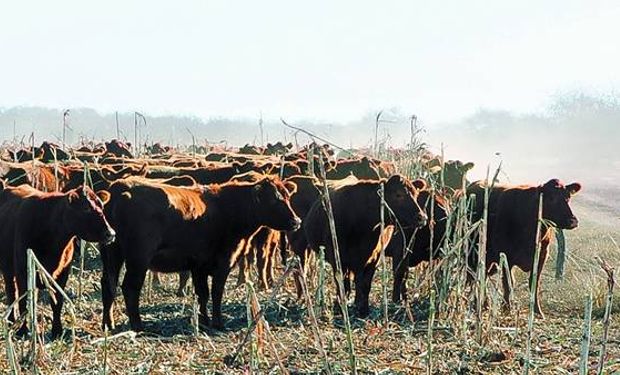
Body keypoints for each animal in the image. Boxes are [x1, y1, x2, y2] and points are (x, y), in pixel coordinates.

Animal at [0, 184, 115, 340]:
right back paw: (12, 322)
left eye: (102, 206)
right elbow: (24, 303)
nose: (111, 233)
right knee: (12, 294)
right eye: (86, 208)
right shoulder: (23, 271)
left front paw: (57, 331)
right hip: (8, 270)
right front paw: (22, 331)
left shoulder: (63, 272)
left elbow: (57, 302)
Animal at [100, 176, 302, 332]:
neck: (229, 208)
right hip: (138, 259)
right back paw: (138, 326)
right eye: (274, 199)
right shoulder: (223, 263)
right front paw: (218, 323)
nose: (296, 221)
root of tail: (120, 188)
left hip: (111, 254)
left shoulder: (198, 266)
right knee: (130, 287)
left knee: (108, 285)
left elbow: (202, 294)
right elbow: (216, 292)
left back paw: (108, 324)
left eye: (287, 196)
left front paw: (204, 321)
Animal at [300, 176, 426, 318]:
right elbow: (342, 285)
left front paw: (363, 311)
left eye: (416, 194)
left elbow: (365, 285)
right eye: (398, 195)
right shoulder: (337, 258)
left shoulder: (374, 258)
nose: (422, 217)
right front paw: (340, 309)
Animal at [468, 179, 584, 318]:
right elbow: (508, 283)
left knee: (482, 276)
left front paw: (537, 311)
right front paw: (507, 309)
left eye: (568, 197)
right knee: (476, 275)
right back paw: (478, 304)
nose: (573, 221)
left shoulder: (542, 255)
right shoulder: (506, 255)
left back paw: (484, 304)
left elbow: (534, 282)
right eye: (551, 198)